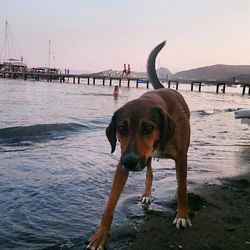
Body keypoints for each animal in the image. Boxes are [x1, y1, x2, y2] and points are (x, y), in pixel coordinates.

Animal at [86, 41, 191, 250]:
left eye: (148, 128)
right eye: (121, 129)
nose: (129, 161)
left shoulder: (181, 157)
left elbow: (182, 188)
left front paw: (182, 215)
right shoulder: (122, 164)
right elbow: (109, 205)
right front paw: (100, 236)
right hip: (144, 159)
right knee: (149, 173)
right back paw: (147, 193)